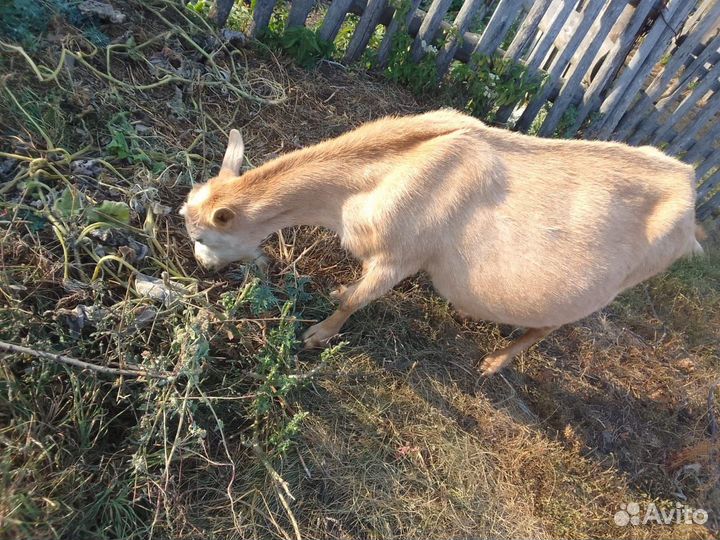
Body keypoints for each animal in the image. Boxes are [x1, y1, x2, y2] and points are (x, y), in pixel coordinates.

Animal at [180, 109, 702, 376]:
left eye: (203, 235)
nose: (201, 268)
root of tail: (689, 187)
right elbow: (351, 291)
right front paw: (335, 292)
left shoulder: (400, 256)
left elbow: (355, 301)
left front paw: (317, 335)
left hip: (613, 287)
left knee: (549, 327)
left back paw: (495, 362)